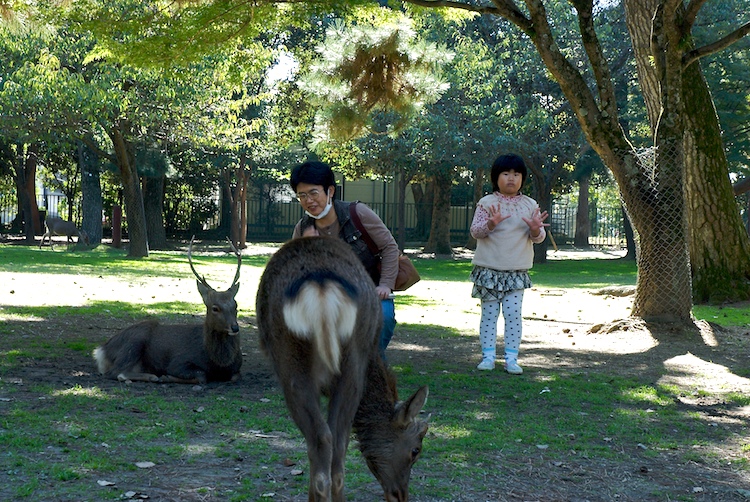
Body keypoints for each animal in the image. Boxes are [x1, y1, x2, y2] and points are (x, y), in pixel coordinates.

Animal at [92, 239, 242, 384]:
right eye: (215, 308)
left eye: (235, 305)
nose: (235, 328)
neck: (218, 364)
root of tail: (102, 350)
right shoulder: (178, 362)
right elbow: (202, 376)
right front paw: (166, 377)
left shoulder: (237, 369)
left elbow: (235, 377)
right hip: (134, 341)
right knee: (116, 372)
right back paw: (152, 376)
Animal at [258, 236, 428, 502]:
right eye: (415, 450)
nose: (400, 496)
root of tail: (320, 285)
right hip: (351, 362)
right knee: (336, 446)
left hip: (291, 363)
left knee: (321, 441)